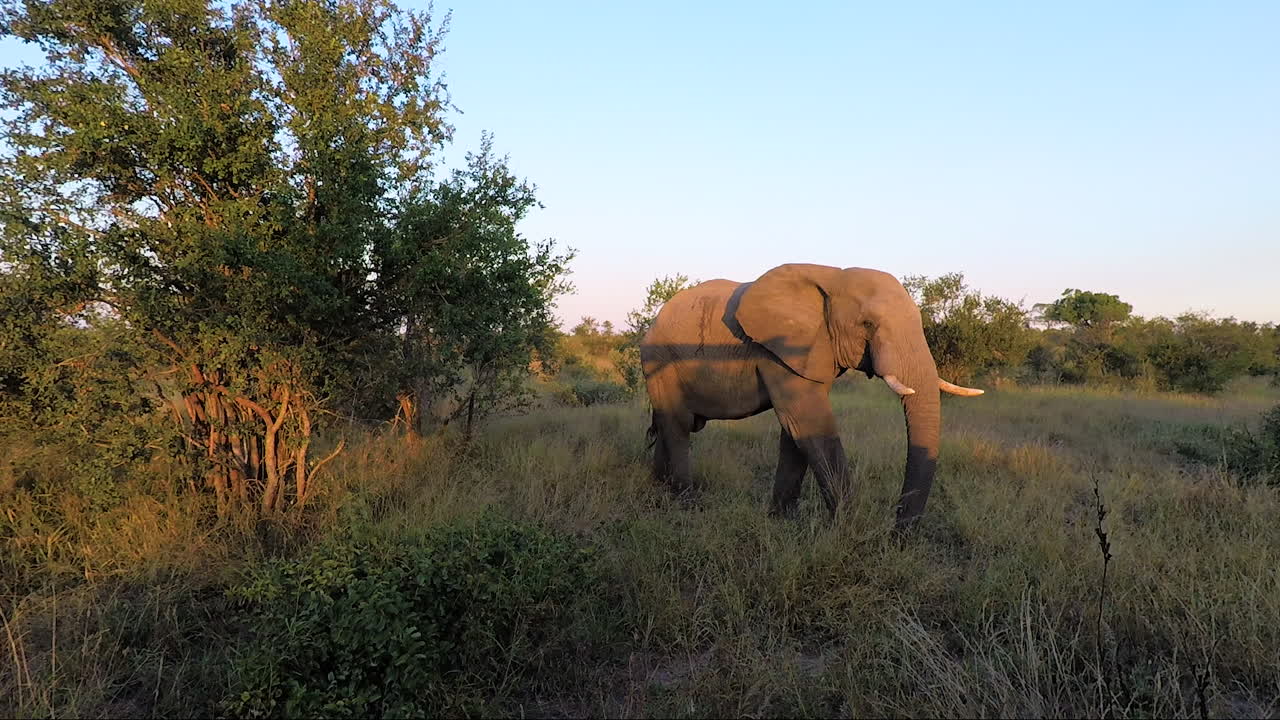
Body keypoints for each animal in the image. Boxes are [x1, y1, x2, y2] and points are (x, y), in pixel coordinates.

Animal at [639, 263, 984, 530]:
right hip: (659, 361)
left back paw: (658, 489)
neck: (833, 278)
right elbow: (808, 422)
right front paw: (850, 531)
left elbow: (795, 430)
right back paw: (686, 502)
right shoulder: (778, 349)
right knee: (678, 425)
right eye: (867, 324)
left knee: (671, 425)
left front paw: (781, 520)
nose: (897, 536)